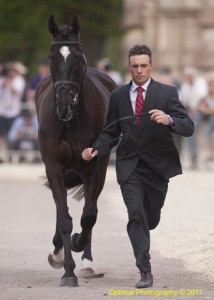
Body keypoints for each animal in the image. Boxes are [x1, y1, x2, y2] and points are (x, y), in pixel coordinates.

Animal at [35, 15, 115, 288]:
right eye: (51, 57)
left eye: (78, 58)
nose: (64, 106)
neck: (70, 123)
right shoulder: (54, 166)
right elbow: (64, 219)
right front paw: (66, 269)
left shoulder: (93, 166)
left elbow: (88, 216)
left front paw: (79, 247)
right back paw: (59, 251)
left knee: (90, 210)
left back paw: (86, 261)